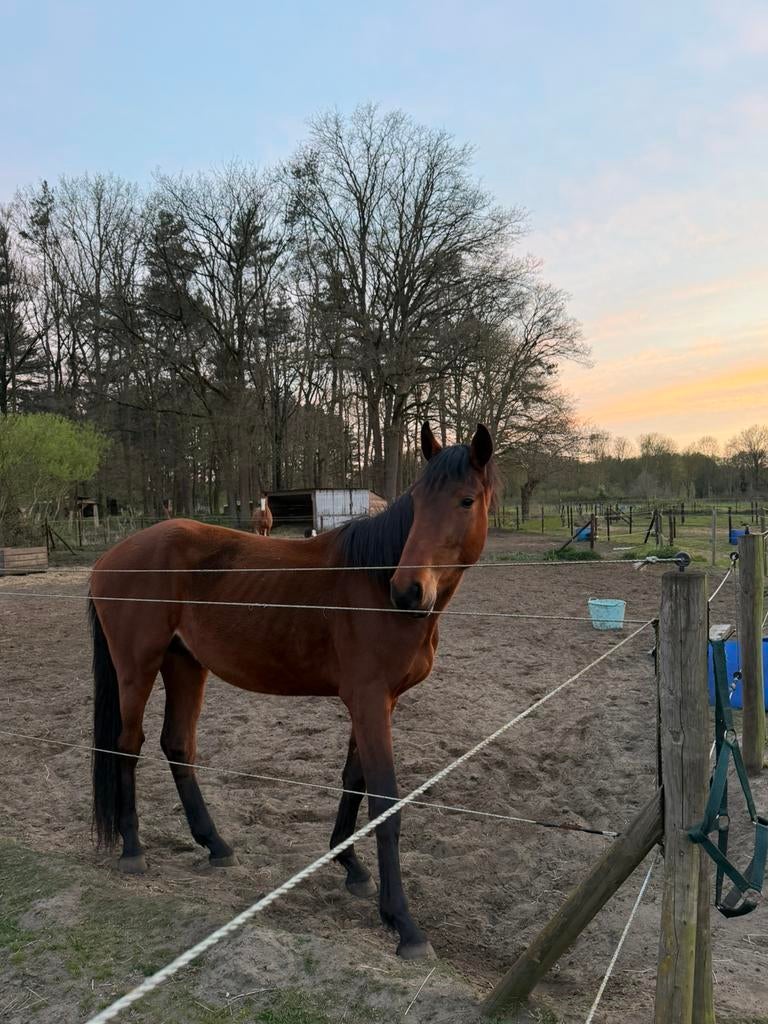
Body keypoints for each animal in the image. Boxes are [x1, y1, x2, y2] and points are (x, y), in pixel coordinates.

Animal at [89, 422, 496, 959]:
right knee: (127, 747)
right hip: (138, 668)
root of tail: (108, 559)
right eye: (417, 501)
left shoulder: (377, 702)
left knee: (177, 746)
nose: (408, 590)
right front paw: (403, 923)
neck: (370, 581)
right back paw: (133, 851)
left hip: (185, 665)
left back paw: (215, 845)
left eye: (466, 501)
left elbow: (354, 780)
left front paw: (352, 868)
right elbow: (384, 802)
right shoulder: (369, 700)